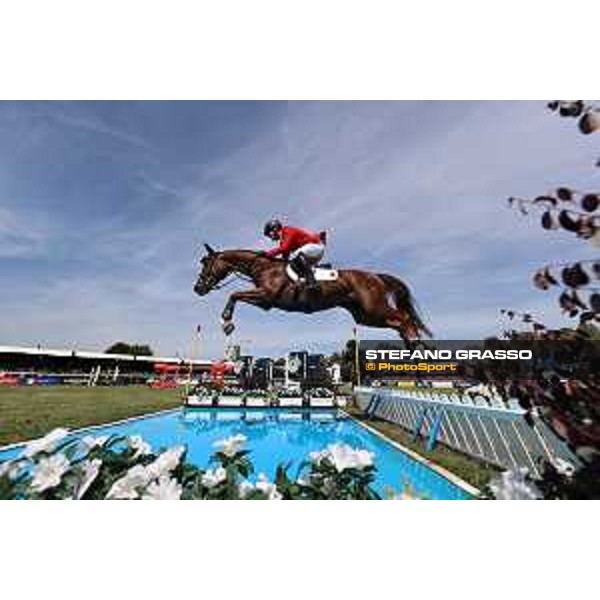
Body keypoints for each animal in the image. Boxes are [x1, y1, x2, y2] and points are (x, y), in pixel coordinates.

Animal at [193, 244, 432, 342]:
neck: (262, 267)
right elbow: (236, 295)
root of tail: (375, 276)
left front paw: (227, 324)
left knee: (404, 317)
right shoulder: (265, 302)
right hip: (365, 316)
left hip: (374, 308)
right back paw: (412, 345)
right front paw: (227, 323)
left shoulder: (266, 296)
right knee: (398, 322)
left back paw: (414, 340)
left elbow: (234, 294)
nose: (198, 288)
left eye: (205, 263)